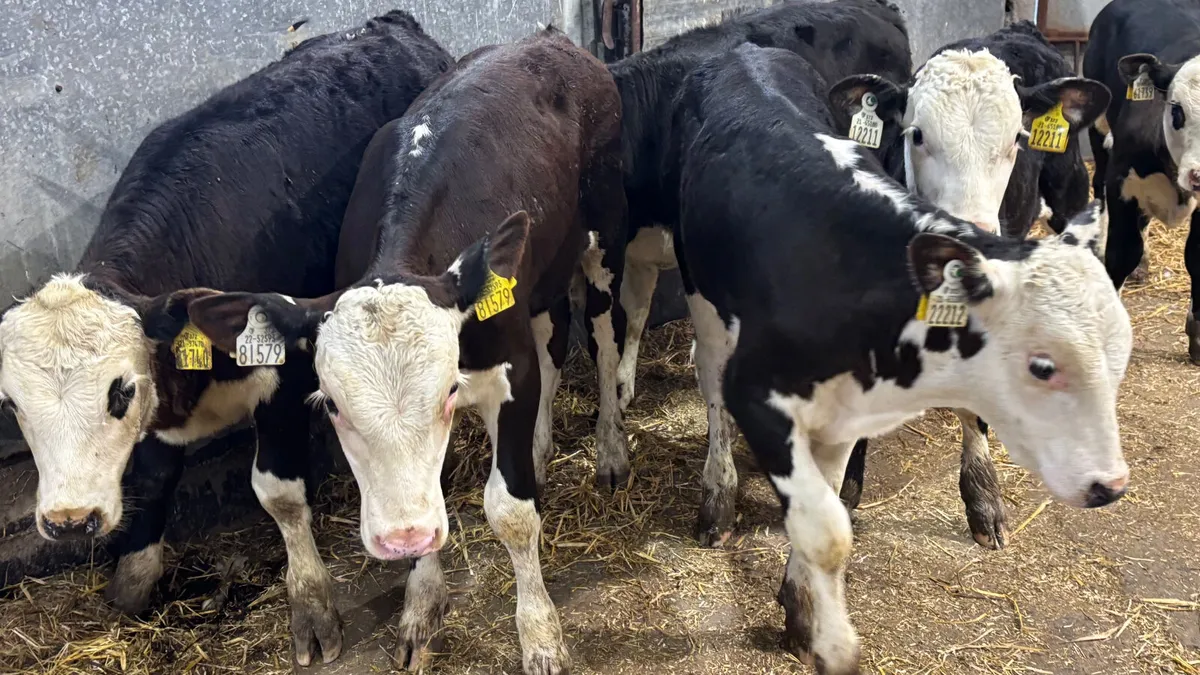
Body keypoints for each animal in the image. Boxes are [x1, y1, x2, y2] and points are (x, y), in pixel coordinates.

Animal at [0, 11, 452, 666]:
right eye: (10, 403)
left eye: (119, 391)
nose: (68, 520)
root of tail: (387, 22)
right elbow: (153, 478)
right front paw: (133, 579)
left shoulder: (288, 370)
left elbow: (279, 492)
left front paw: (311, 607)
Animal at [187, 29, 624, 674]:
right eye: (332, 405)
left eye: (448, 391)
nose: (400, 539)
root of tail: (552, 39)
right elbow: (430, 489)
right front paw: (421, 606)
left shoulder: (510, 366)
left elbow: (511, 510)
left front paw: (540, 635)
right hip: (544, 265)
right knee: (553, 336)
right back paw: (541, 450)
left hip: (606, 233)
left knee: (604, 337)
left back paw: (611, 450)